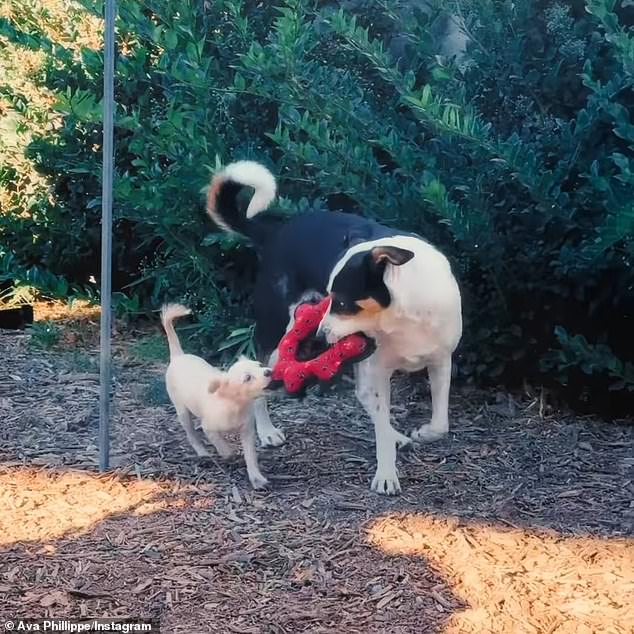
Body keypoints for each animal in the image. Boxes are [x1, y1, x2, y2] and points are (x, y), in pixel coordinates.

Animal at [159, 304, 270, 486]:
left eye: (260, 365)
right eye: (247, 378)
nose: (269, 371)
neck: (235, 405)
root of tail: (178, 356)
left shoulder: (247, 431)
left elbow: (250, 456)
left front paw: (256, 477)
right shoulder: (209, 428)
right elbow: (222, 444)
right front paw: (228, 453)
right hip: (182, 411)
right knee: (191, 435)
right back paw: (202, 452)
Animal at [205, 159, 462, 494]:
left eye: (340, 302)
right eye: (329, 298)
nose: (318, 335)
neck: (402, 317)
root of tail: (276, 232)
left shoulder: (440, 359)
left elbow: (441, 423)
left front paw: (423, 433)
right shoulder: (378, 368)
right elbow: (380, 426)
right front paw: (386, 474)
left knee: (364, 395)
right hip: (276, 332)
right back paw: (267, 431)